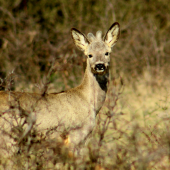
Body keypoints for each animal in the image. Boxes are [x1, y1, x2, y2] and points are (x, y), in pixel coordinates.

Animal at [0, 22, 119, 154]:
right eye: (89, 55)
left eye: (107, 53)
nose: (99, 65)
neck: (89, 102)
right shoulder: (75, 134)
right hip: (7, 138)